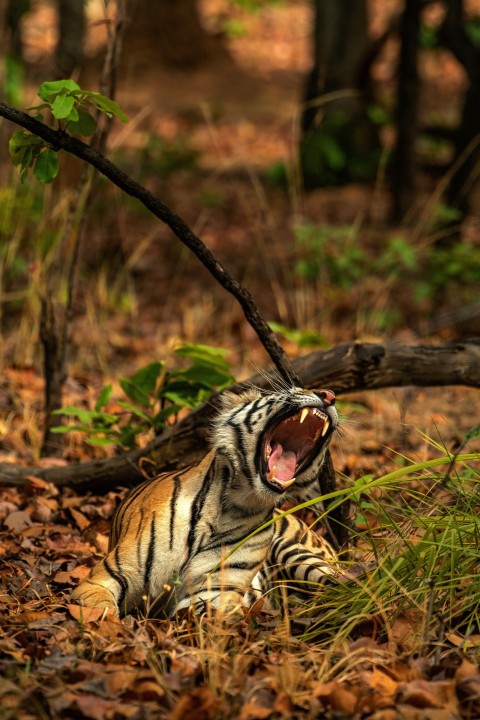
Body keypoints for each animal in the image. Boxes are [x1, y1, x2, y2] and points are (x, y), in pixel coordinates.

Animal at [71, 385, 341, 618]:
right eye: (294, 389)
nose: (329, 395)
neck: (237, 504)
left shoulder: (216, 592)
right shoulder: (104, 578)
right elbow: (103, 610)